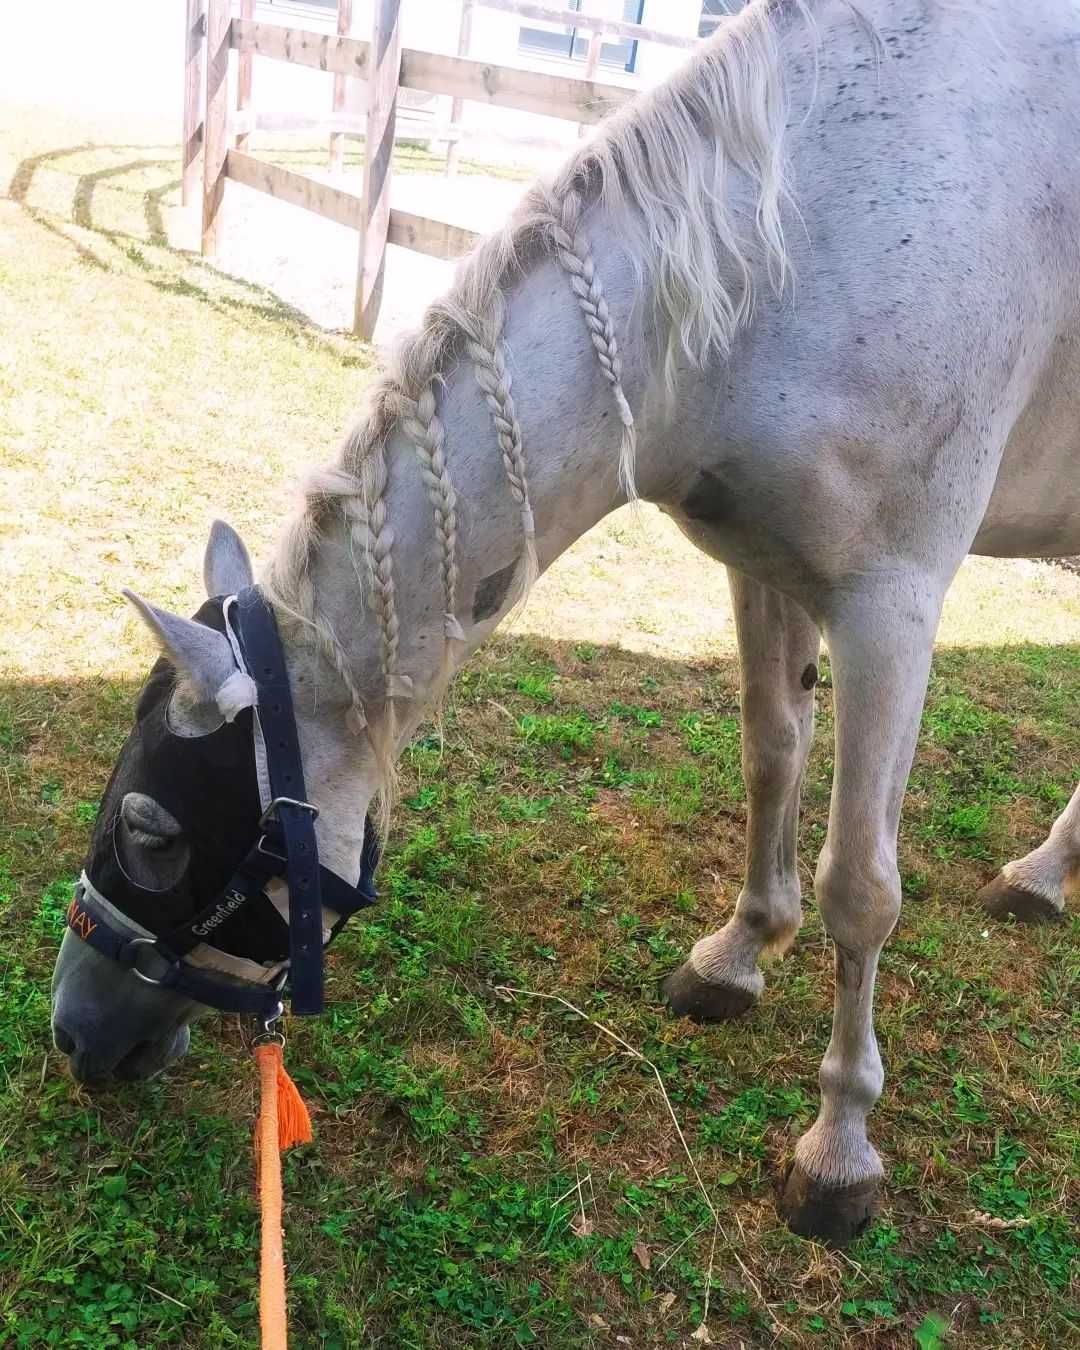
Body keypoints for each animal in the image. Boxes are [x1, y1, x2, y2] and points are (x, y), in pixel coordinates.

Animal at [48, 0, 1080, 1242]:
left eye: (152, 830)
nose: (74, 1031)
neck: (795, 243)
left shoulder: (892, 604)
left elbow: (862, 891)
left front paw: (840, 1149)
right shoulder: (767, 567)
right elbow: (771, 759)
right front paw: (737, 957)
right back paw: (1043, 876)